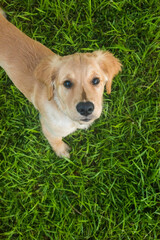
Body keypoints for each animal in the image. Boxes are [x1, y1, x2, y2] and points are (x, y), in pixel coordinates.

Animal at [0, 9, 121, 158]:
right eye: (67, 83)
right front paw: (61, 151)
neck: (61, 108)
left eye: (96, 80)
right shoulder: (48, 128)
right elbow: (55, 140)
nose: (86, 108)